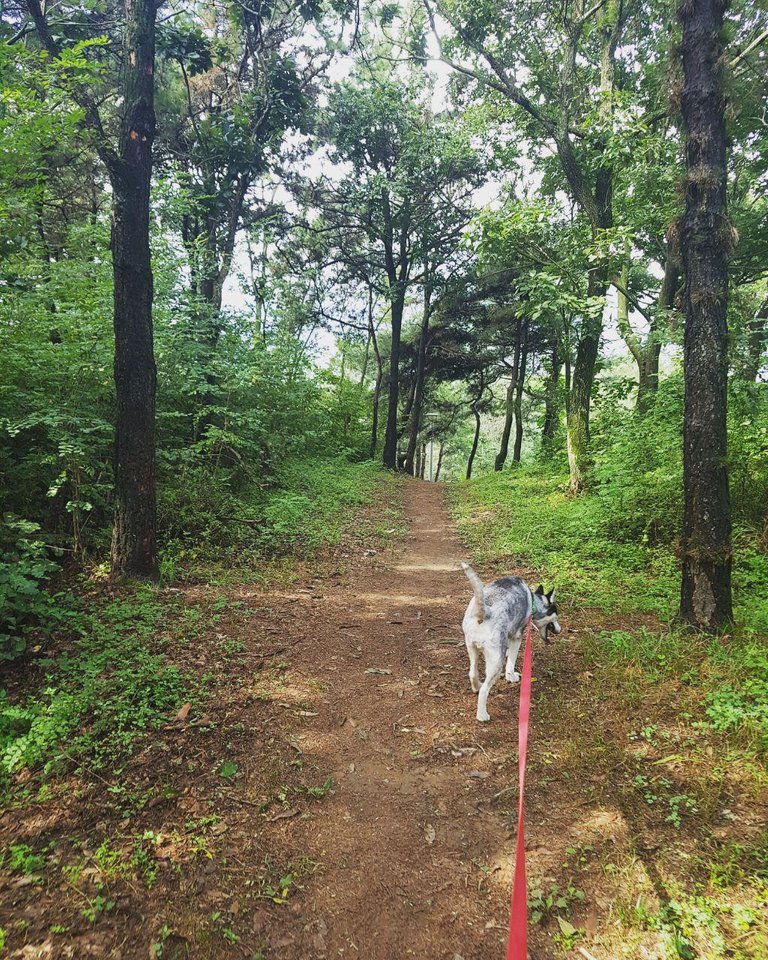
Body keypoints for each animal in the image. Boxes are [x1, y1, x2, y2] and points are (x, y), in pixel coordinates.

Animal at [460, 564, 560, 720]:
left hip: (472, 649)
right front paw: (511, 676)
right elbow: (511, 661)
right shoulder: (517, 636)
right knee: (485, 690)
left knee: (472, 673)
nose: (560, 630)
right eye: (556, 614)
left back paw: (477, 686)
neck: (534, 601)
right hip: (496, 662)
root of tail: (485, 611)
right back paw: (482, 714)